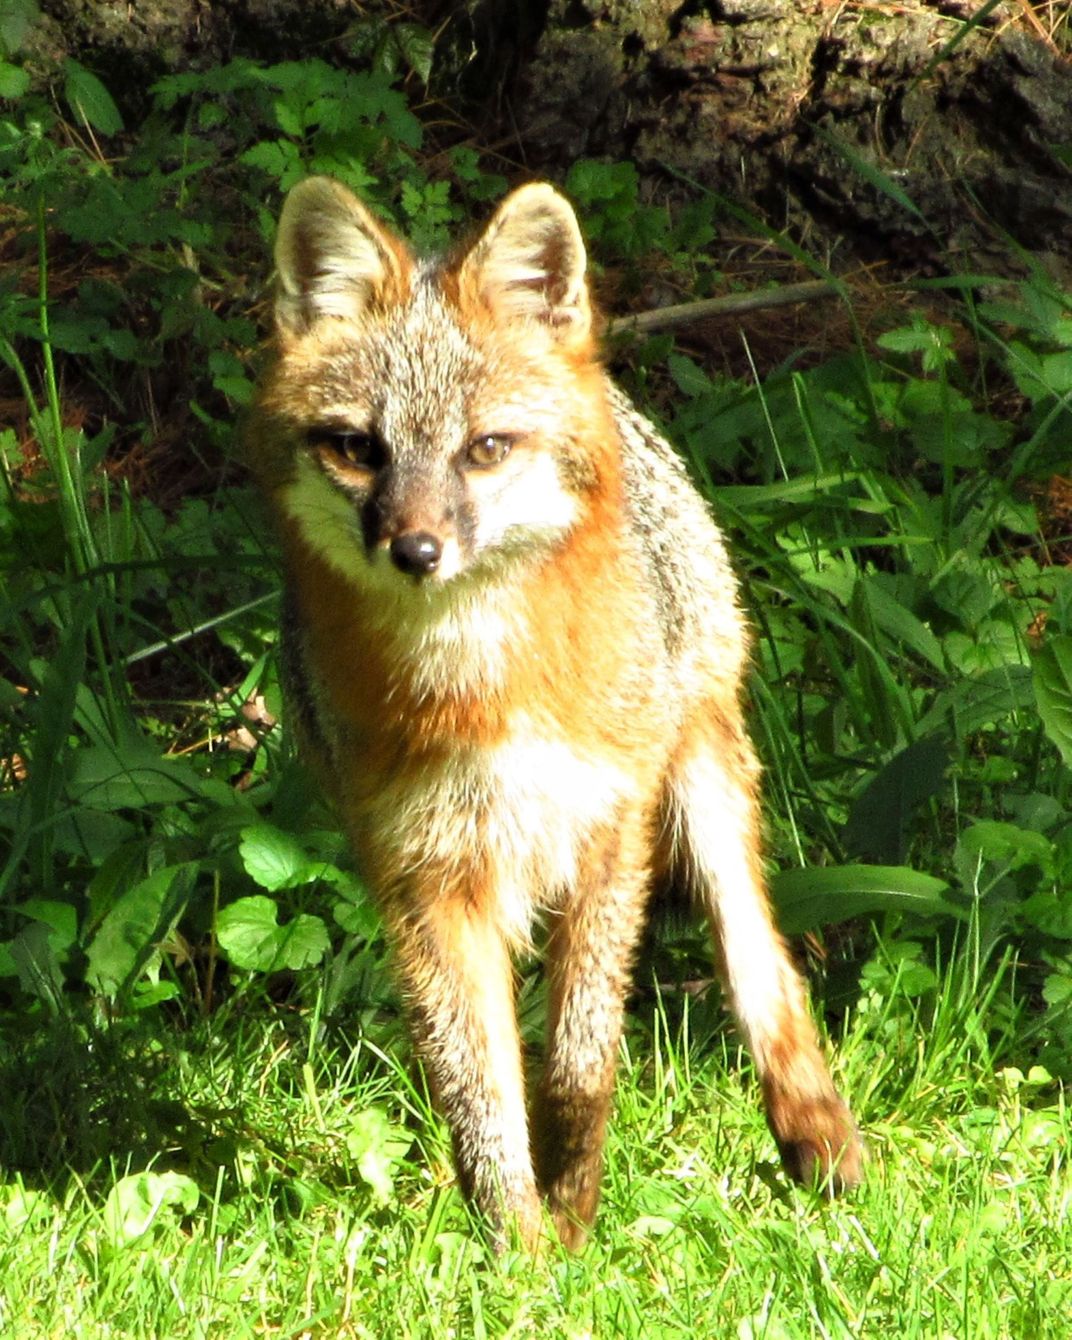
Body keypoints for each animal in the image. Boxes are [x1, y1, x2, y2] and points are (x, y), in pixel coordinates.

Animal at [248, 176, 863, 1250]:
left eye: (485, 448)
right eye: (357, 450)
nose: (416, 551)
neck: (478, 696)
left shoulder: (608, 824)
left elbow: (579, 1059)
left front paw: (572, 1210)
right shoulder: (418, 871)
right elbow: (476, 1092)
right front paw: (518, 1251)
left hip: (700, 776)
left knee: (761, 958)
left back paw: (815, 1133)